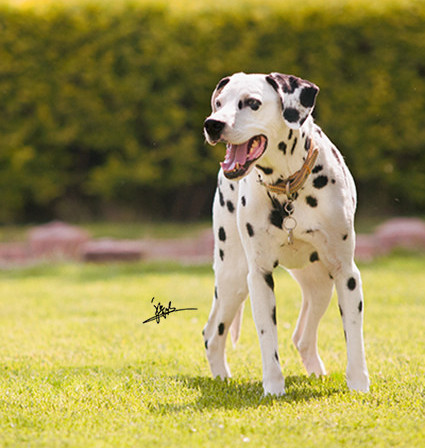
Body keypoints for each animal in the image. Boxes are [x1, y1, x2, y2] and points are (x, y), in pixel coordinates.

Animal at [201, 72, 368, 396]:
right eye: (219, 103)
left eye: (252, 103)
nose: (213, 124)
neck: (288, 186)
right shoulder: (259, 277)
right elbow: (268, 339)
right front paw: (273, 388)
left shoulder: (347, 274)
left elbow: (354, 336)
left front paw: (358, 384)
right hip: (233, 280)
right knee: (212, 334)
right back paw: (221, 379)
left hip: (320, 286)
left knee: (302, 337)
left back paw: (316, 372)